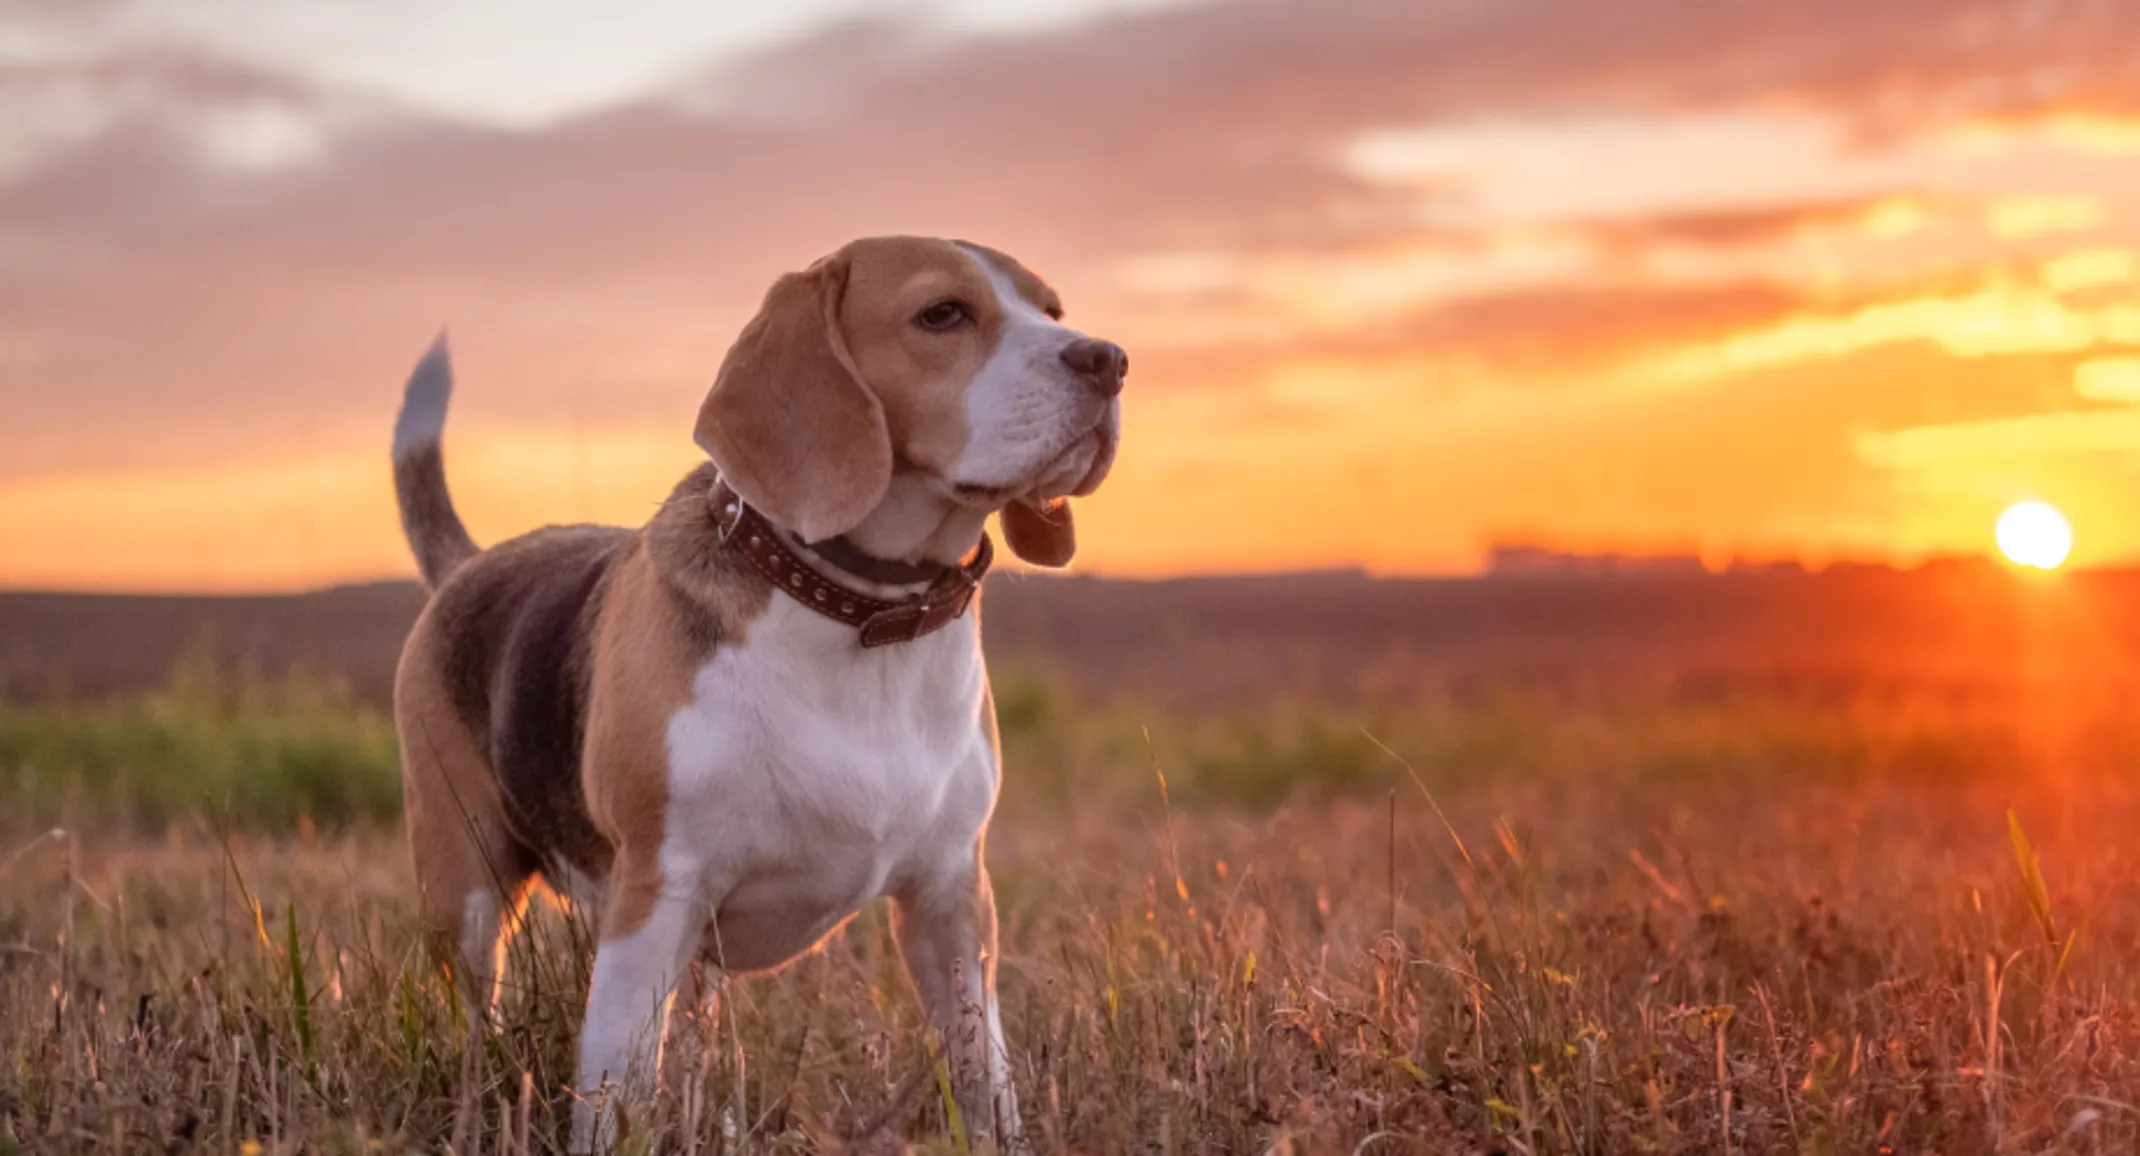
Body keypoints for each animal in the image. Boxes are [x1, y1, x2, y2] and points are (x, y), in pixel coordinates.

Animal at [389, 234, 1121, 1147]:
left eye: (1052, 310)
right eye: (943, 314)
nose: (1110, 360)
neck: (862, 615)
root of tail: (474, 563)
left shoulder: (953, 900)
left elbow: (985, 1071)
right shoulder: (653, 901)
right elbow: (614, 1096)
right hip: (464, 885)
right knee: (475, 1010)